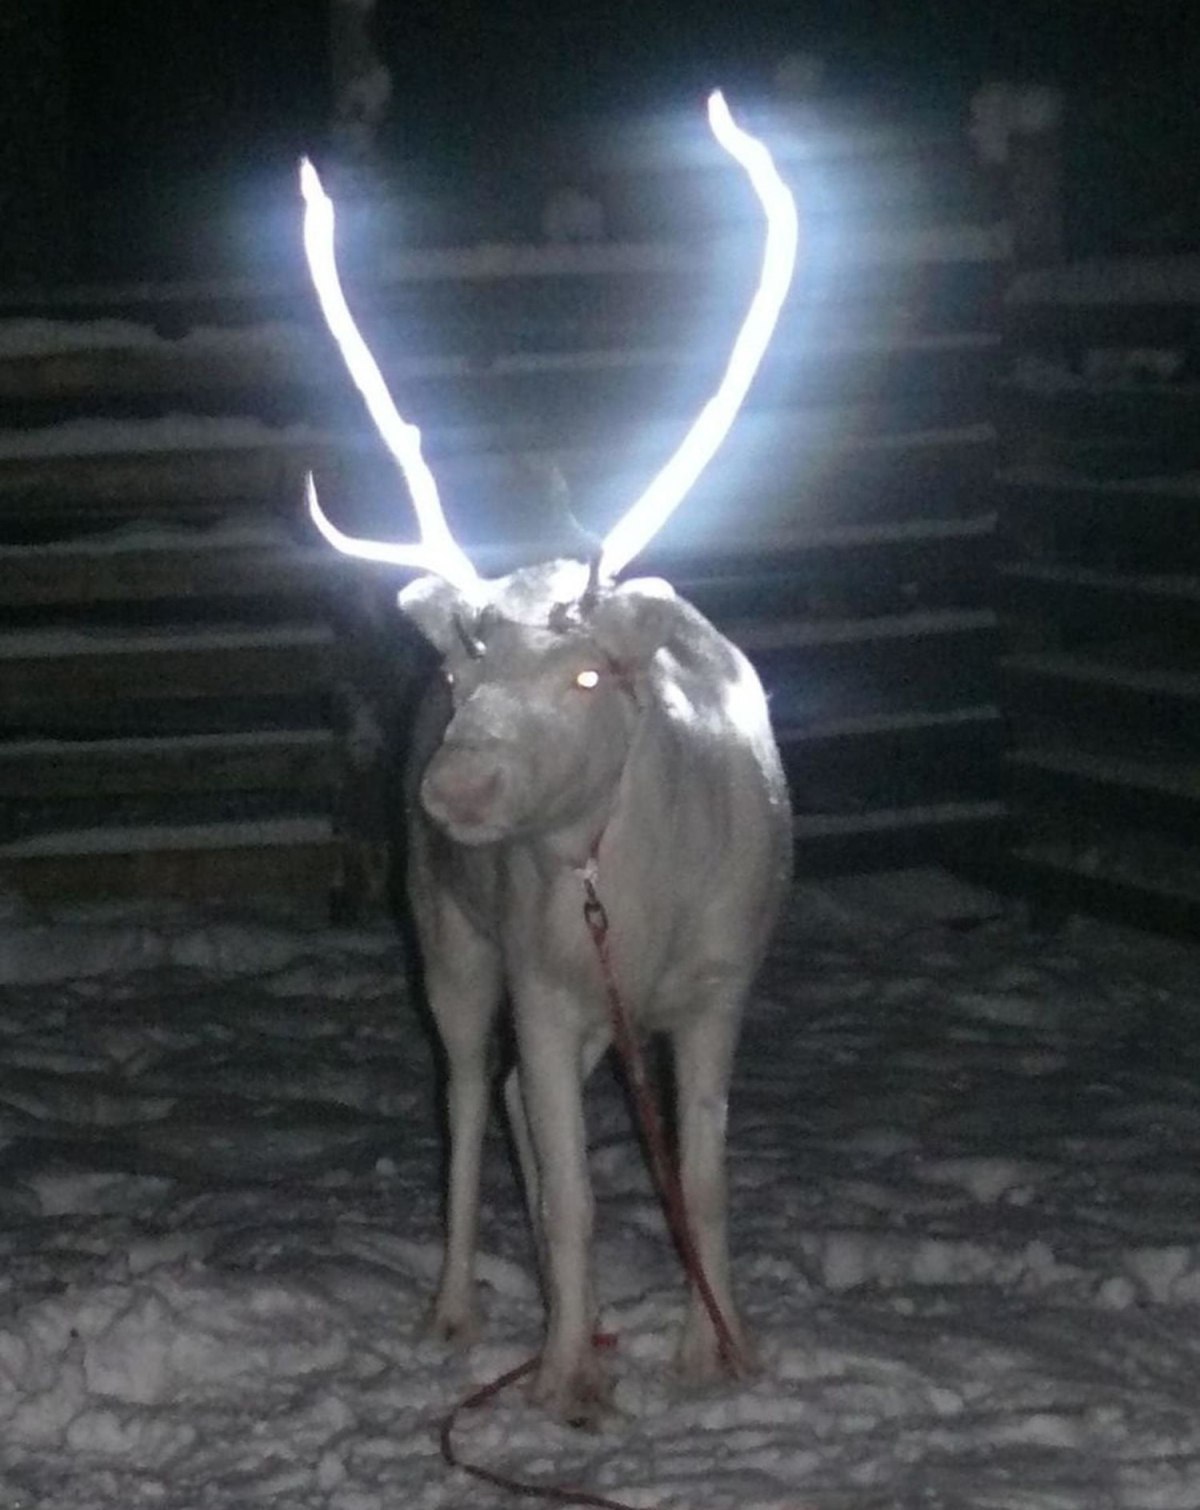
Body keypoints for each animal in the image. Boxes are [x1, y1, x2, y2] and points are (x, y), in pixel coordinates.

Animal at [300, 92, 798, 1422]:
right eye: (465, 677)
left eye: (585, 676)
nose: (455, 785)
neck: (625, 895)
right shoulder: (540, 975)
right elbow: (572, 1190)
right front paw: (568, 1376)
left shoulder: (720, 981)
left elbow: (704, 1177)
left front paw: (721, 1348)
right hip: (452, 945)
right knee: (475, 1102)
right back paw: (462, 1308)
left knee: (526, 1104)